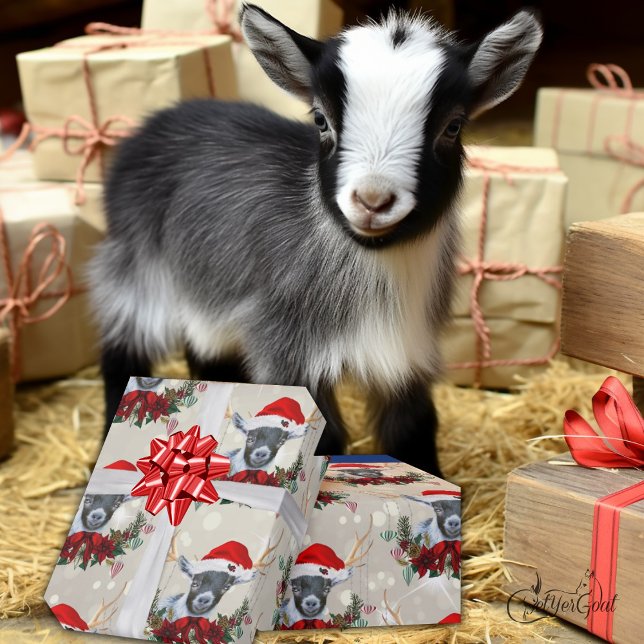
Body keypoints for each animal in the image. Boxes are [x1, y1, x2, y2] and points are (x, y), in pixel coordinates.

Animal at [89, 5, 542, 475]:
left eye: (453, 127)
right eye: (321, 120)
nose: (373, 200)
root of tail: (152, 126)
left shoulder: (406, 352)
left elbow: (413, 426)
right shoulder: (286, 348)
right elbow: (323, 436)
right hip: (136, 269)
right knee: (122, 350)